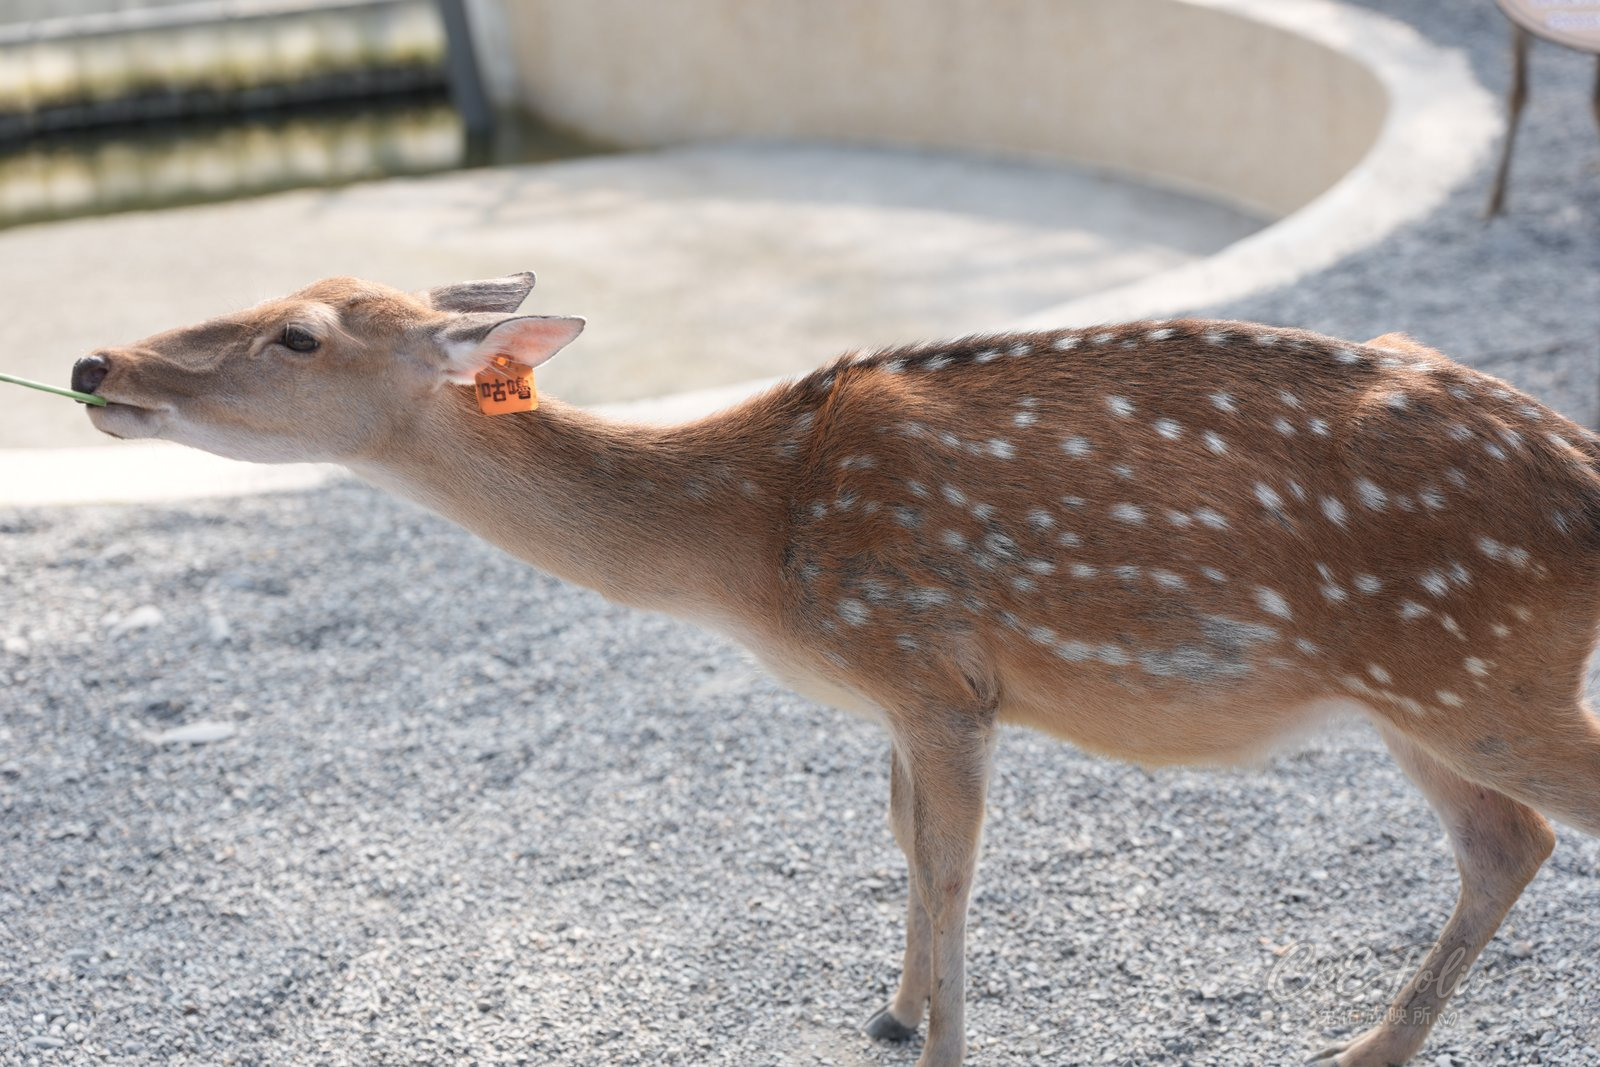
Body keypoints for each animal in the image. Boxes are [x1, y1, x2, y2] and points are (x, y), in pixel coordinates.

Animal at [72, 272, 1600, 1066]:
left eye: (297, 333)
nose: (96, 361)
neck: (759, 549)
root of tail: (1581, 469)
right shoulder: (890, 692)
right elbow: (900, 837)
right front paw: (891, 1009)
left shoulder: (931, 660)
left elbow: (953, 866)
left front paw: (938, 1042)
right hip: (1415, 684)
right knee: (1504, 840)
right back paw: (1361, 1047)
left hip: (1470, 663)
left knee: (1533, 821)